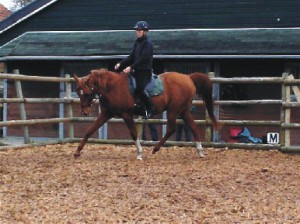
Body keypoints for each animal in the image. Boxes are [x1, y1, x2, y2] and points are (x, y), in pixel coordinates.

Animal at [74, 68, 221, 159]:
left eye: (86, 93)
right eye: (78, 93)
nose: (84, 112)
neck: (112, 87)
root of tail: (188, 77)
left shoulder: (126, 114)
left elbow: (134, 134)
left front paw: (139, 153)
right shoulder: (106, 114)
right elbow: (89, 131)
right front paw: (77, 152)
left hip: (174, 110)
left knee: (171, 129)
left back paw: (155, 149)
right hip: (183, 111)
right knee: (194, 128)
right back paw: (200, 151)